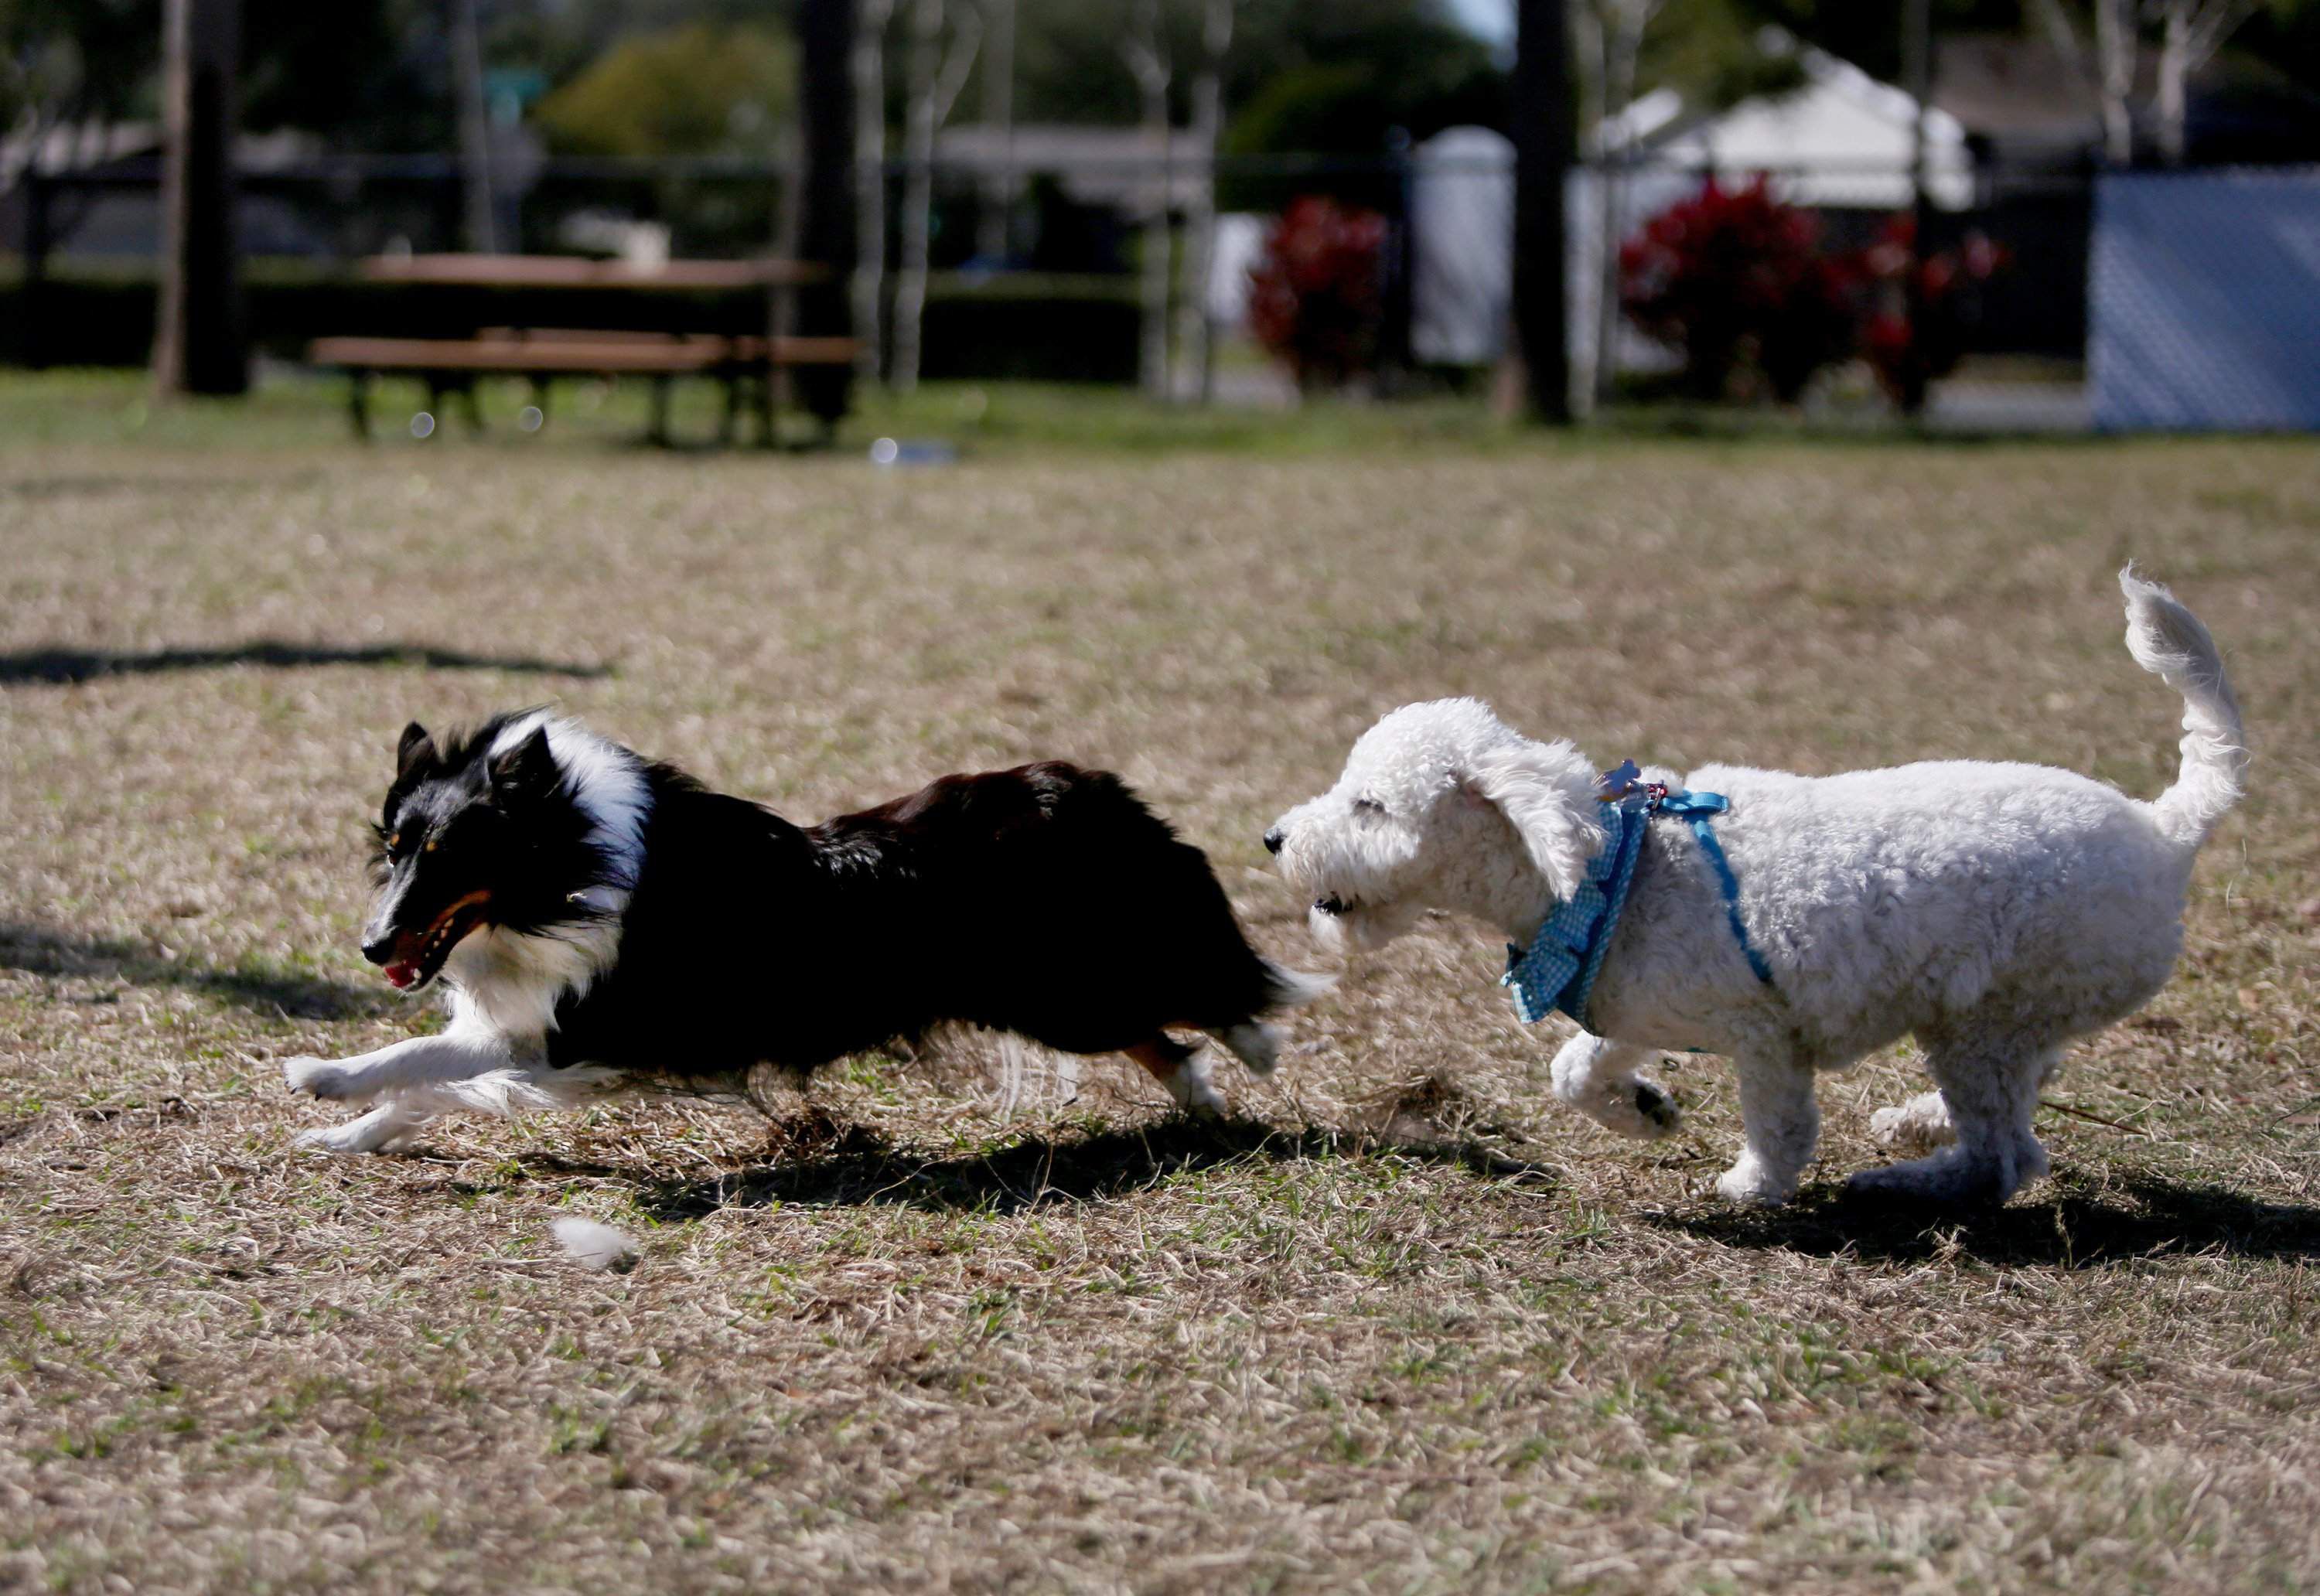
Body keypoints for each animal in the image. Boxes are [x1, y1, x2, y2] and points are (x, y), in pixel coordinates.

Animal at [285, 719, 1327, 1155]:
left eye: (449, 859)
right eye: (395, 849)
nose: (372, 948)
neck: (573, 866)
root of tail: (1079, 788)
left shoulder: (590, 1040)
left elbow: (437, 1073)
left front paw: (333, 1096)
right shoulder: (532, 1029)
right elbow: (423, 1073)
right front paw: (344, 1122)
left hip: (1057, 991)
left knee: (1194, 991)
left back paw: (1254, 1049)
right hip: (1053, 996)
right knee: (1160, 1028)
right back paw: (1205, 1095)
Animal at [1271, 573, 2246, 1206]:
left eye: (1370, 806)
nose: (1275, 838)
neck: (1618, 873)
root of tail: (2165, 829)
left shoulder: (1765, 1032)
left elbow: (1780, 1126)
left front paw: (1753, 1187)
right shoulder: (1637, 1003)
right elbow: (1572, 1070)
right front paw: (1644, 1111)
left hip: (1989, 1020)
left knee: (2005, 1158)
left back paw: (1900, 1178)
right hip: (2001, 1019)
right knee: (2020, 1122)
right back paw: (1915, 1127)